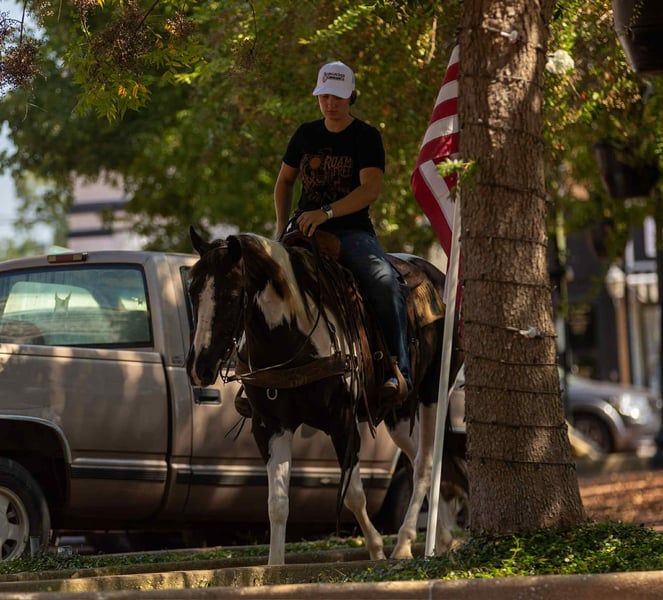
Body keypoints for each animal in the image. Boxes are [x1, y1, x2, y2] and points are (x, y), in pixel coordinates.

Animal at [186, 226, 465, 565]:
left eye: (229, 297)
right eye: (192, 292)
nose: (199, 367)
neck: (293, 338)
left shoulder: (342, 422)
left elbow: (354, 495)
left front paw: (376, 552)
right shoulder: (270, 425)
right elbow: (277, 503)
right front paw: (275, 567)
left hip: (432, 392)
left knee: (426, 462)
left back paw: (403, 544)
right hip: (397, 415)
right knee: (423, 460)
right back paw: (443, 537)